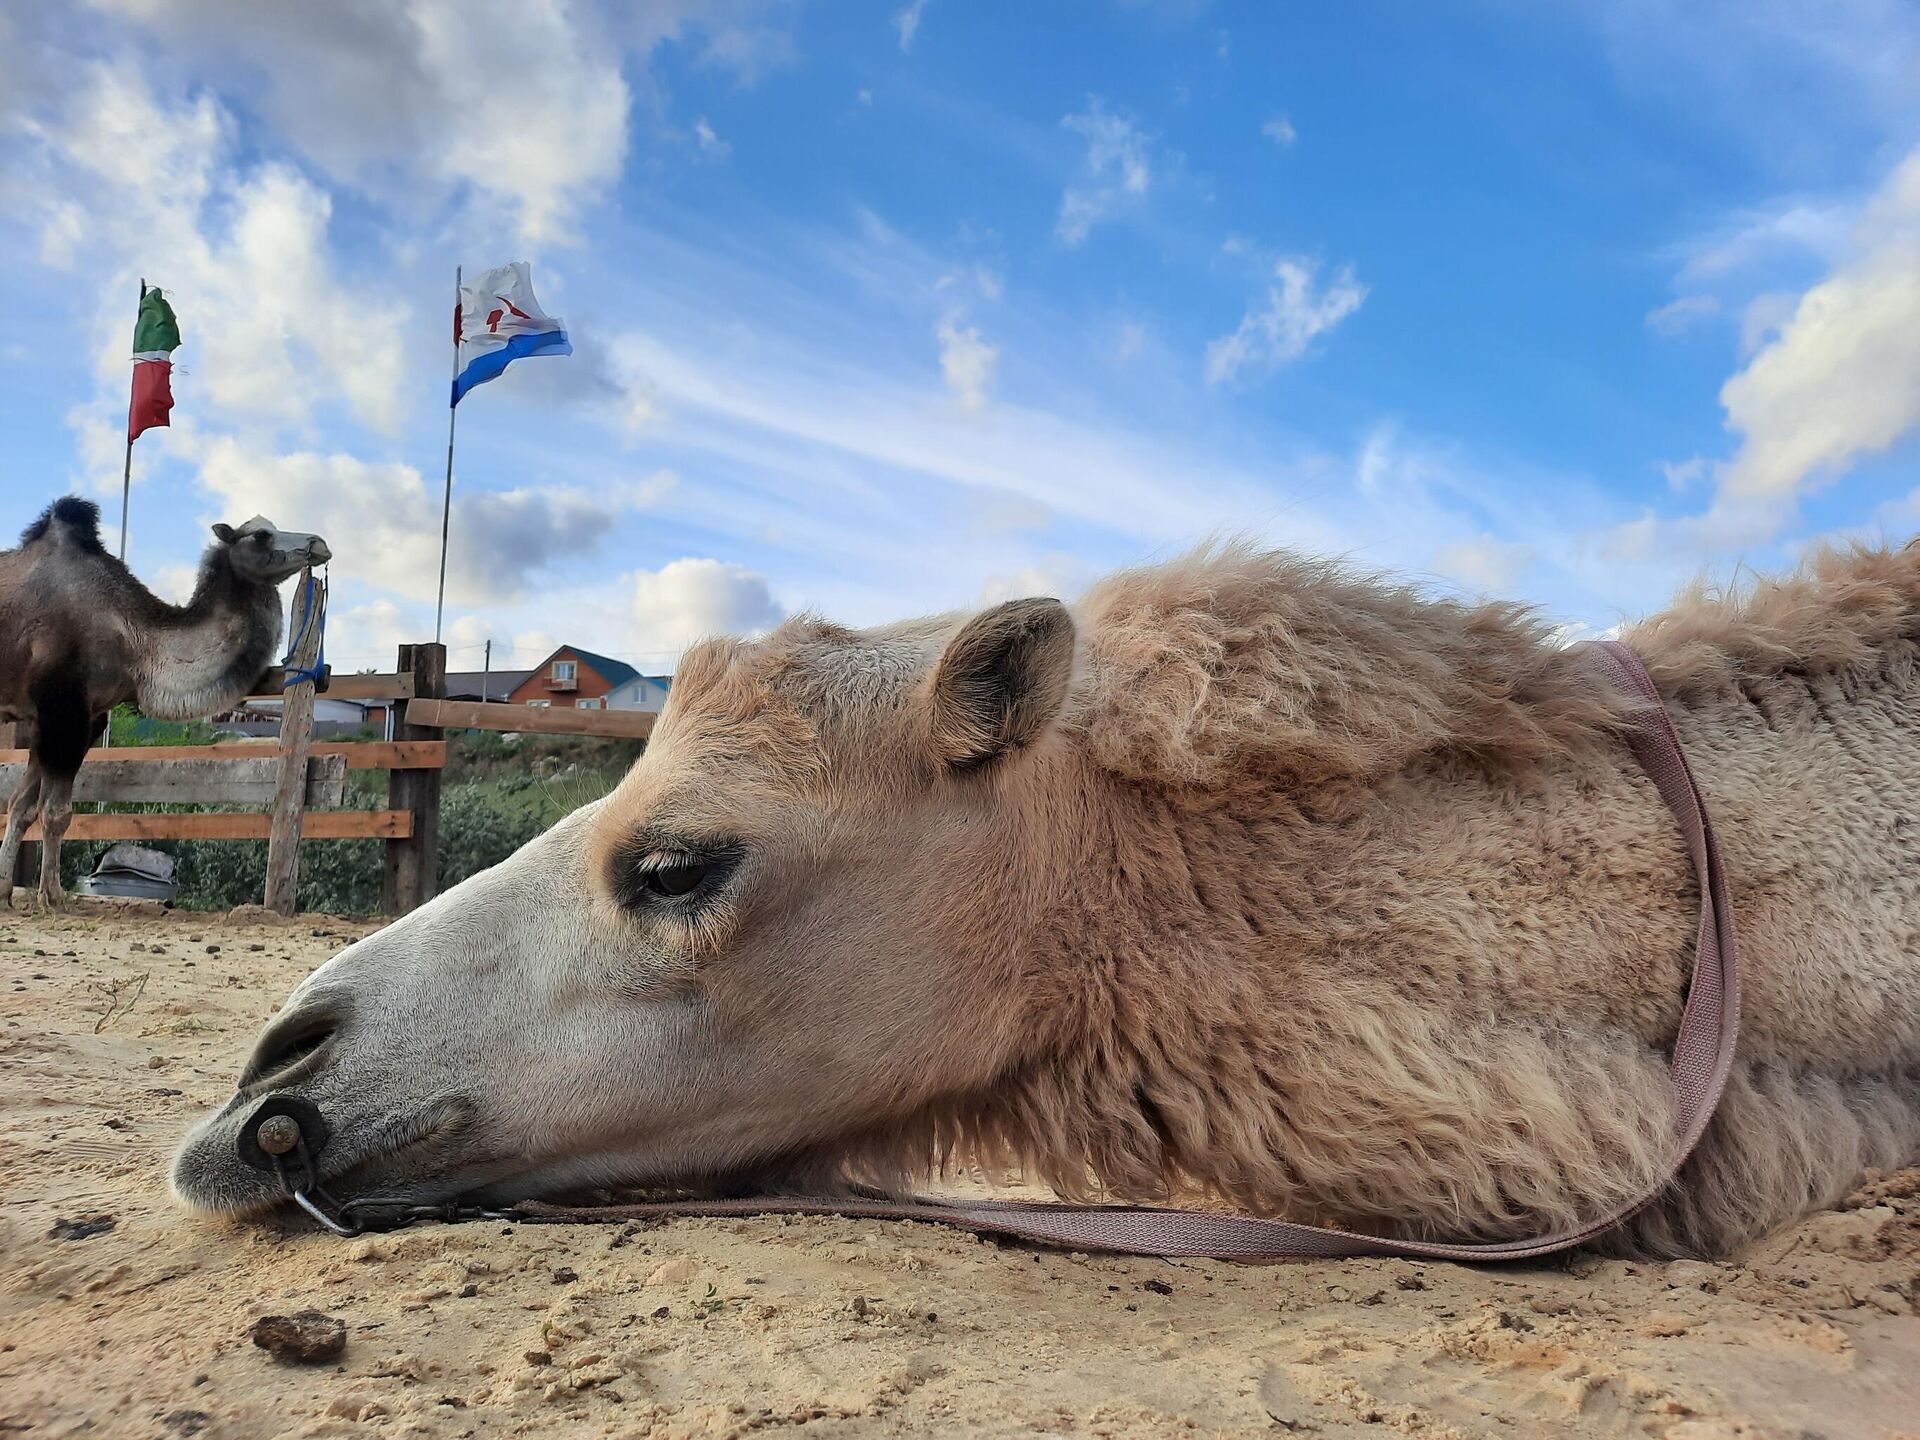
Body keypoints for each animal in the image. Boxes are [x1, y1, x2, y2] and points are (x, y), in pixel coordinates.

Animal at [0, 503, 328, 913]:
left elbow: (21, 807)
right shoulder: (64, 709)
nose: (318, 543)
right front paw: (53, 897)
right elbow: (56, 812)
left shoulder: (81, 717)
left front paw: (4, 894)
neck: (135, 641)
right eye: (260, 535)